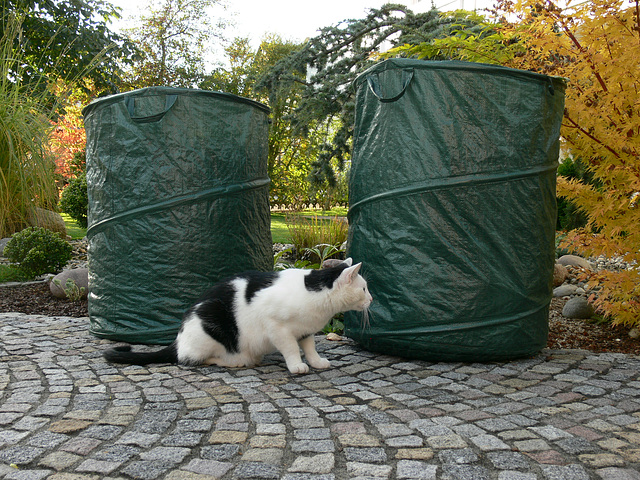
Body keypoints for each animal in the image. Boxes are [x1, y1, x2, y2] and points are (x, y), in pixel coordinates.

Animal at [103, 258, 372, 376]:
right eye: (364, 288)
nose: (371, 299)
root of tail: (177, 340)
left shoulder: (305, 330)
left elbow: (309, 347)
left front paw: (316, 362)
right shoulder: (277, 328)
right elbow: (291, 349)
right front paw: (296, 365)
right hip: (209, 323)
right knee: (189, 359)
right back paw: (237, 360)